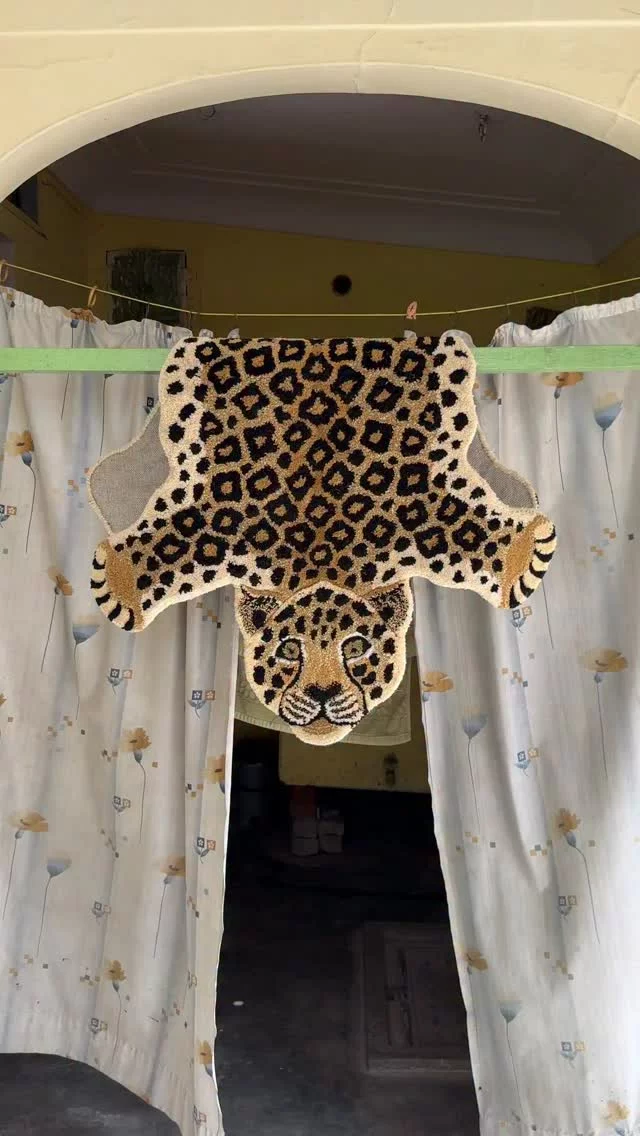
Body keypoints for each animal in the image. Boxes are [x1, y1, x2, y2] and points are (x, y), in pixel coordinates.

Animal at [89, 332, 556, 745]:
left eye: (357, 648)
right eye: (289, 652)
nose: (322, 693)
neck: (321, 556)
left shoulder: (421, 499)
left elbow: (468, 529)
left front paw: (525, 550)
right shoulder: (217, 512)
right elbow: (169, 545)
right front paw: (121, 583)